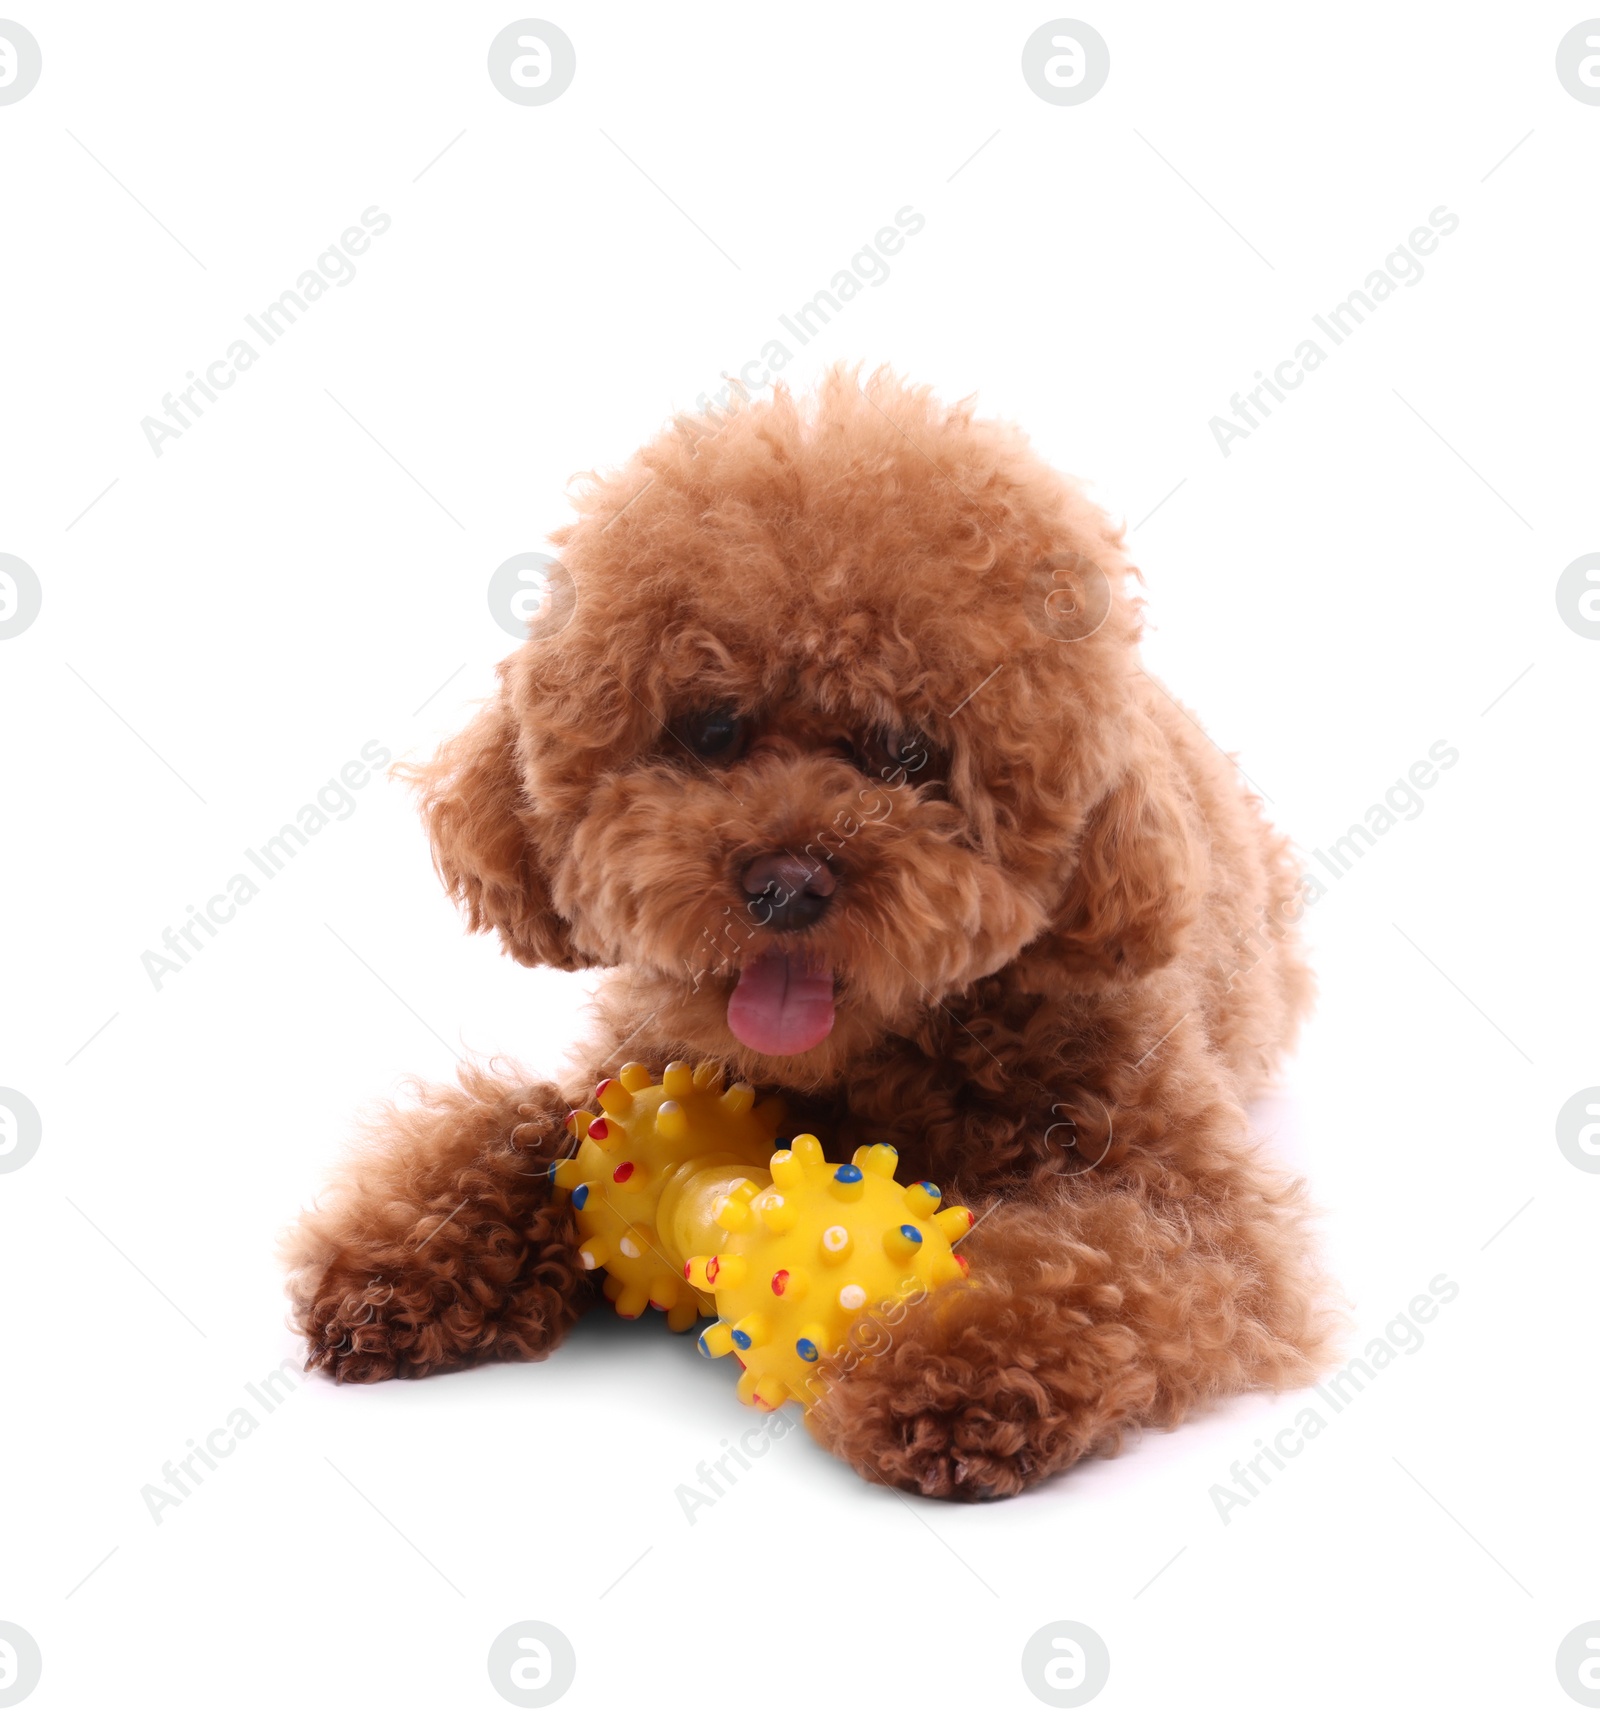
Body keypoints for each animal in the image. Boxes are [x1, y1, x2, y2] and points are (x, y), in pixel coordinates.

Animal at [285, 374, 1326, 1499]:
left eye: (909, 754)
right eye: (711, 729)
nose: (786, 885)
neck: (876, 1067)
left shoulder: (1201, 1207)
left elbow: (1104, 1257)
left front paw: (952, 1367)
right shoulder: (633, 1068)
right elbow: (517, 1130)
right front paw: (404, 1263)